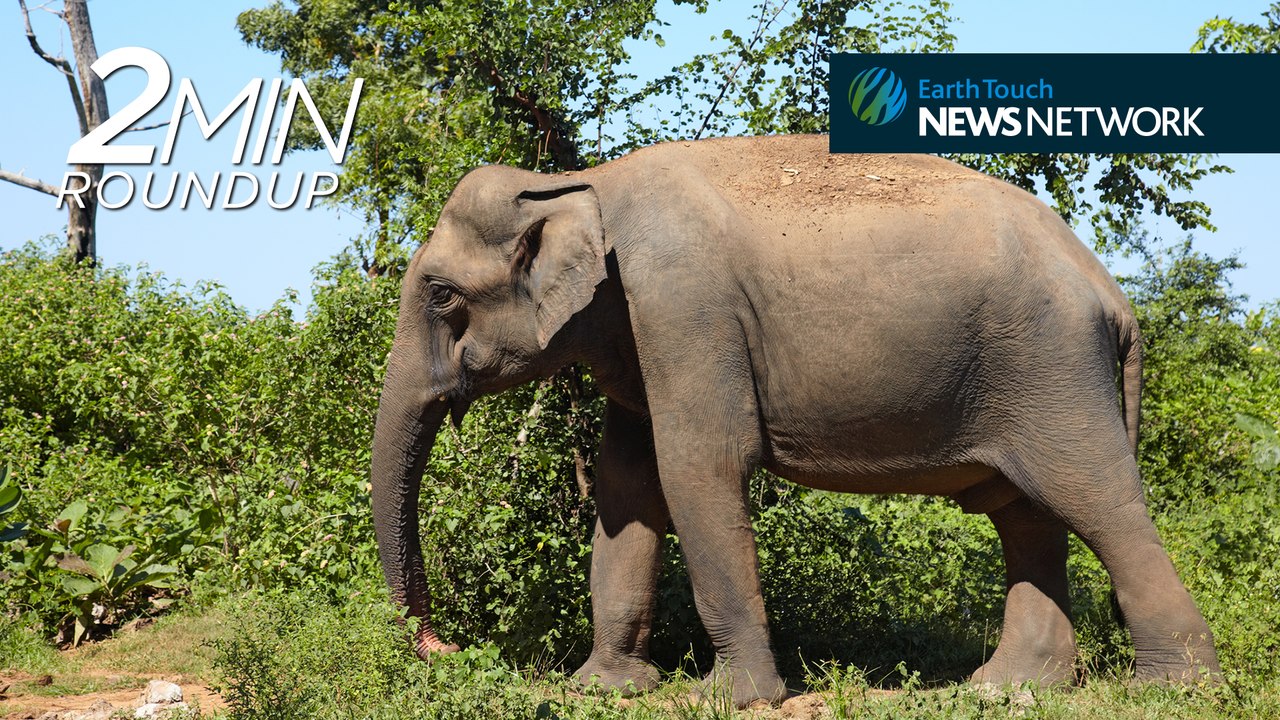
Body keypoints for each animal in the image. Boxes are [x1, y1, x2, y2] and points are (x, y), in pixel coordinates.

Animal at [369, 134, 1221, 707]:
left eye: (441, 293)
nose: (442, 646)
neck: (573, 185)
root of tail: (1113, 294)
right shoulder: (640, 335)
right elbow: (625, 492)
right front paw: (605, 688)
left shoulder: (685, 308)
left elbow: (698, 470)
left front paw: (732, 698)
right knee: (1025, 514)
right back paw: (1004, 689)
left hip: (1054, 369)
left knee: (1099, 504)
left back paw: (1174, 690)